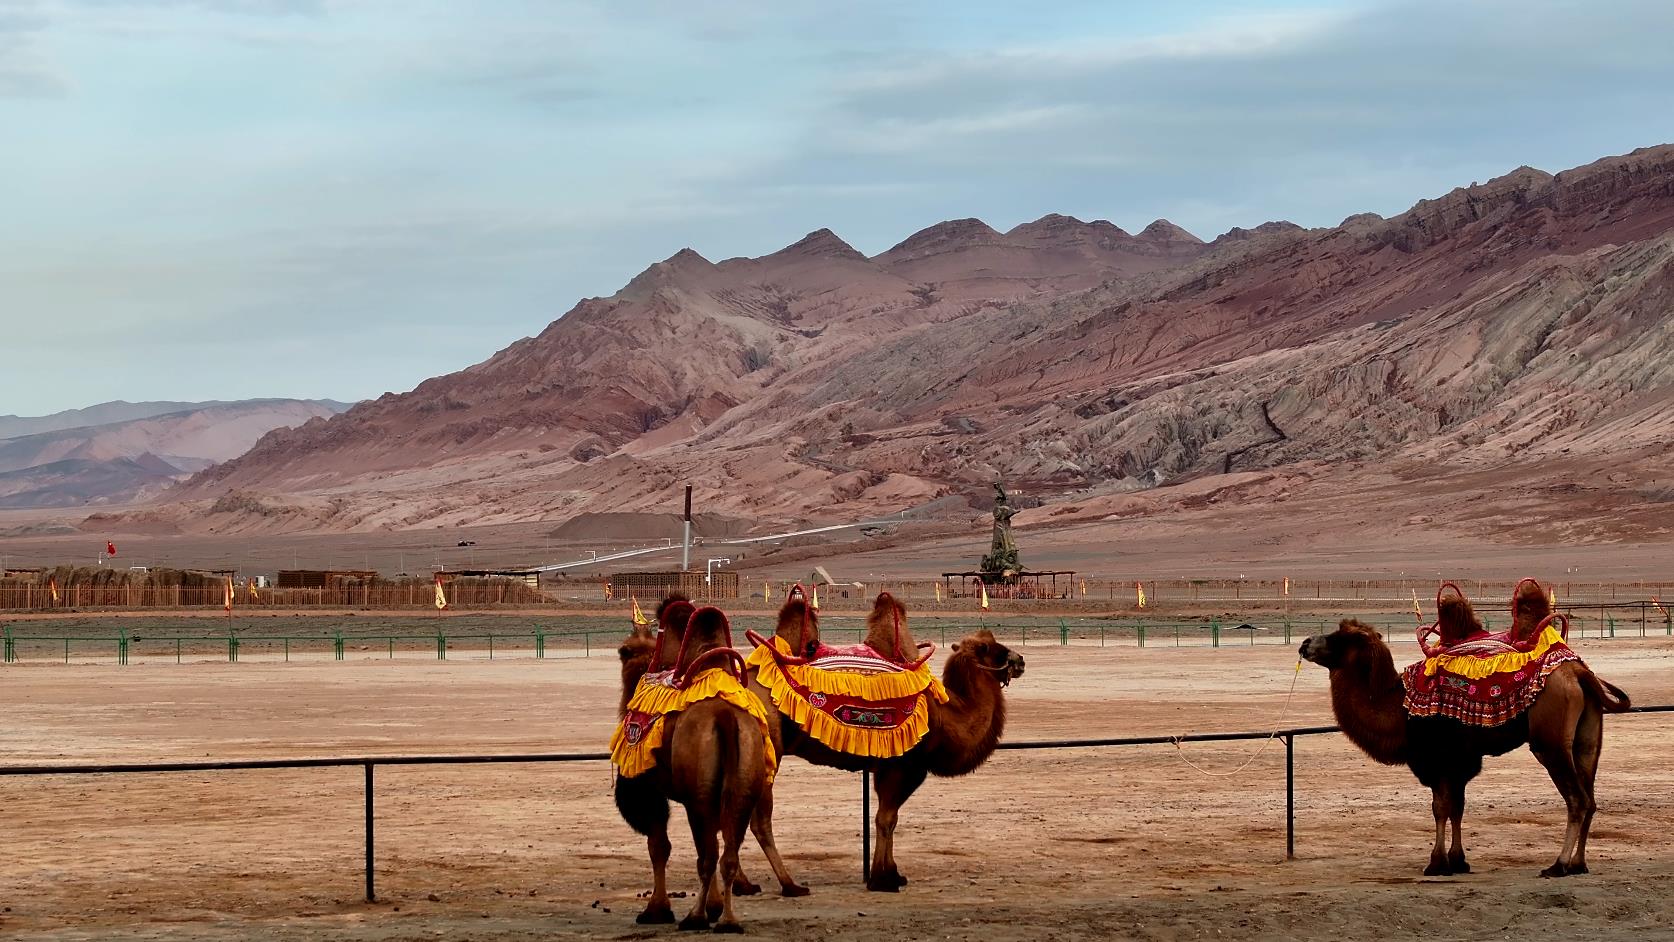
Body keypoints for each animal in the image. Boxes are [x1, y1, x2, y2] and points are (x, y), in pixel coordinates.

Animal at [616, 609, 770, 930]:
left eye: (625, 650)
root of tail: (724, 717)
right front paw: (711, 906)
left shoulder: (648, 790)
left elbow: (658, 845)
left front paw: (656, 910)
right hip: (743, 785)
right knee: (726, 852)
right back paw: (727, 919)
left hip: (699, 796)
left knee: (707, 855)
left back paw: (696, 917)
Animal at [749, 592, 1031, 896]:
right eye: (985, 646)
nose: (1020, 660)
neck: (946, 716)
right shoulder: (904, 766)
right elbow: (886, 818)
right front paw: (882, 879)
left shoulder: (888, 767)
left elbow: (888, 817)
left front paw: (891, 873)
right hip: (769, 752)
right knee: (758, 820)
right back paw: (789, 884)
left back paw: (745, 884)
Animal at [1299, 619, 1627, 876]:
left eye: (1343, 637)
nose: (1305, 643)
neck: (1399, 709)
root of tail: (1578, 674)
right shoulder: (1462, 762)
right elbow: (1457, 807)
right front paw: (1458, 861)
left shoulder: (1437, 760)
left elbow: (1440, 808)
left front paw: (1436, 863)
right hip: (1587, 740)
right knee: (1590, 797)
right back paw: (1579, 864)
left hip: (1551, 744)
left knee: (1577, 799)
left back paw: (1558, 865)